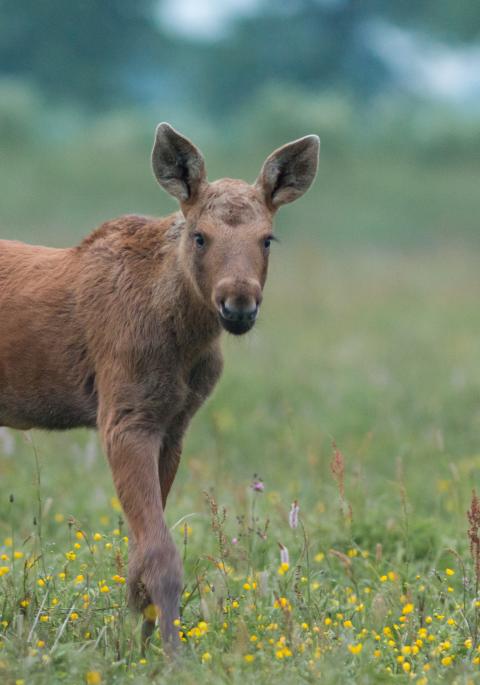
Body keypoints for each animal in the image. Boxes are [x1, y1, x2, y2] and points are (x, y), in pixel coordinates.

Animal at [0, 123, 319, 651]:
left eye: (268, 239)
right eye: (200, 236)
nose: (238, 304)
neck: (185, 338)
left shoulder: (174, 425)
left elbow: (140, 554)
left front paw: (138, 637)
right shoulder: (125, 417)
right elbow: (161, 554)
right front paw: (169, 653)